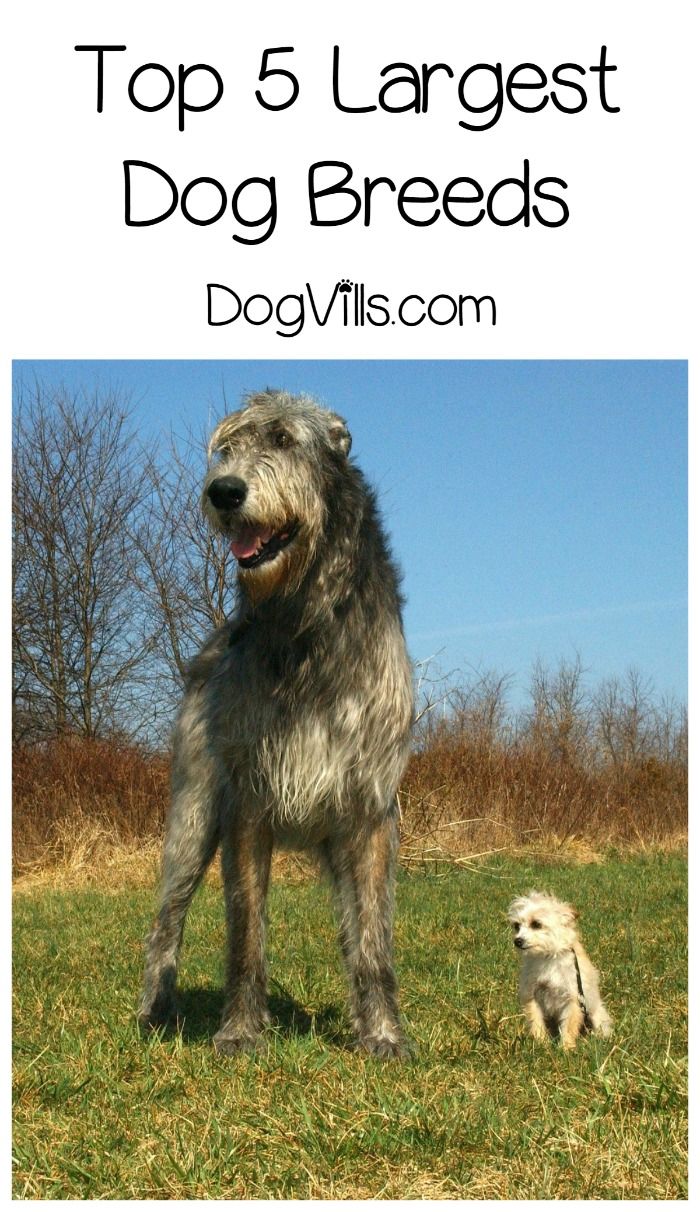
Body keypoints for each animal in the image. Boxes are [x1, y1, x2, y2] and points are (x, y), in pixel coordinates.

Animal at [138, 392, 411, 1056]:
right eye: (227, 448)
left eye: (285, 440)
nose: (224, 491)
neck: (304, 620)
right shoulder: (247, 803)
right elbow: (246, 932)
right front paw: (240, 1032)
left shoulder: (371, 809)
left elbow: (373, 939)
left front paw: (383, 1033)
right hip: (191, 815)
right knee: (167, 917)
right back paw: (156, 1008)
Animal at [501, 892, 610, 1052]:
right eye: (516, 926)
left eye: (536, 924)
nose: (518, 941)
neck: (547, 957)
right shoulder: (531, 996)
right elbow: (536, 1022)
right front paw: (541, 1044)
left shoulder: (573, 998)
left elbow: (569, 1025)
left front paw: (566, 1048)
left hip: (596, 1015)